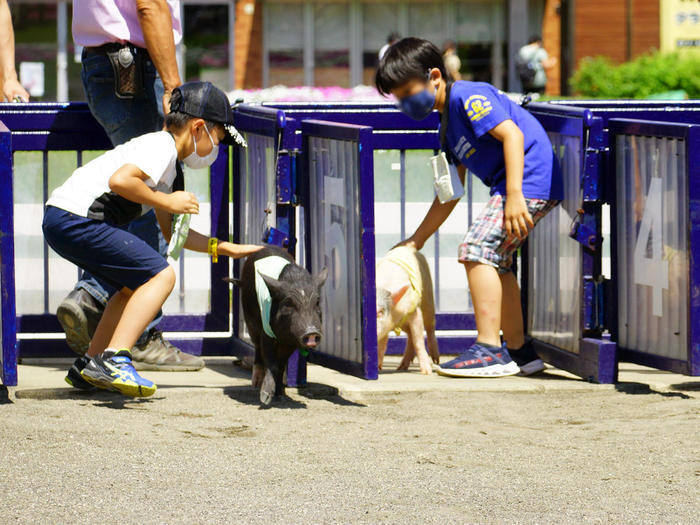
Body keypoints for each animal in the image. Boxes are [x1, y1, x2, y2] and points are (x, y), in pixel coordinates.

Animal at [228, 245, 330, 406]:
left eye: (317, 302)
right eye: (288, 303)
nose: (311, 332)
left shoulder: (291, 341)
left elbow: (281, 364)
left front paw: (281, 396)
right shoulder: (266, 332)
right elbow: (272, 362)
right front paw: (265, 398)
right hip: (249, 318)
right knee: (257, 347)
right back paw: (255, 383)